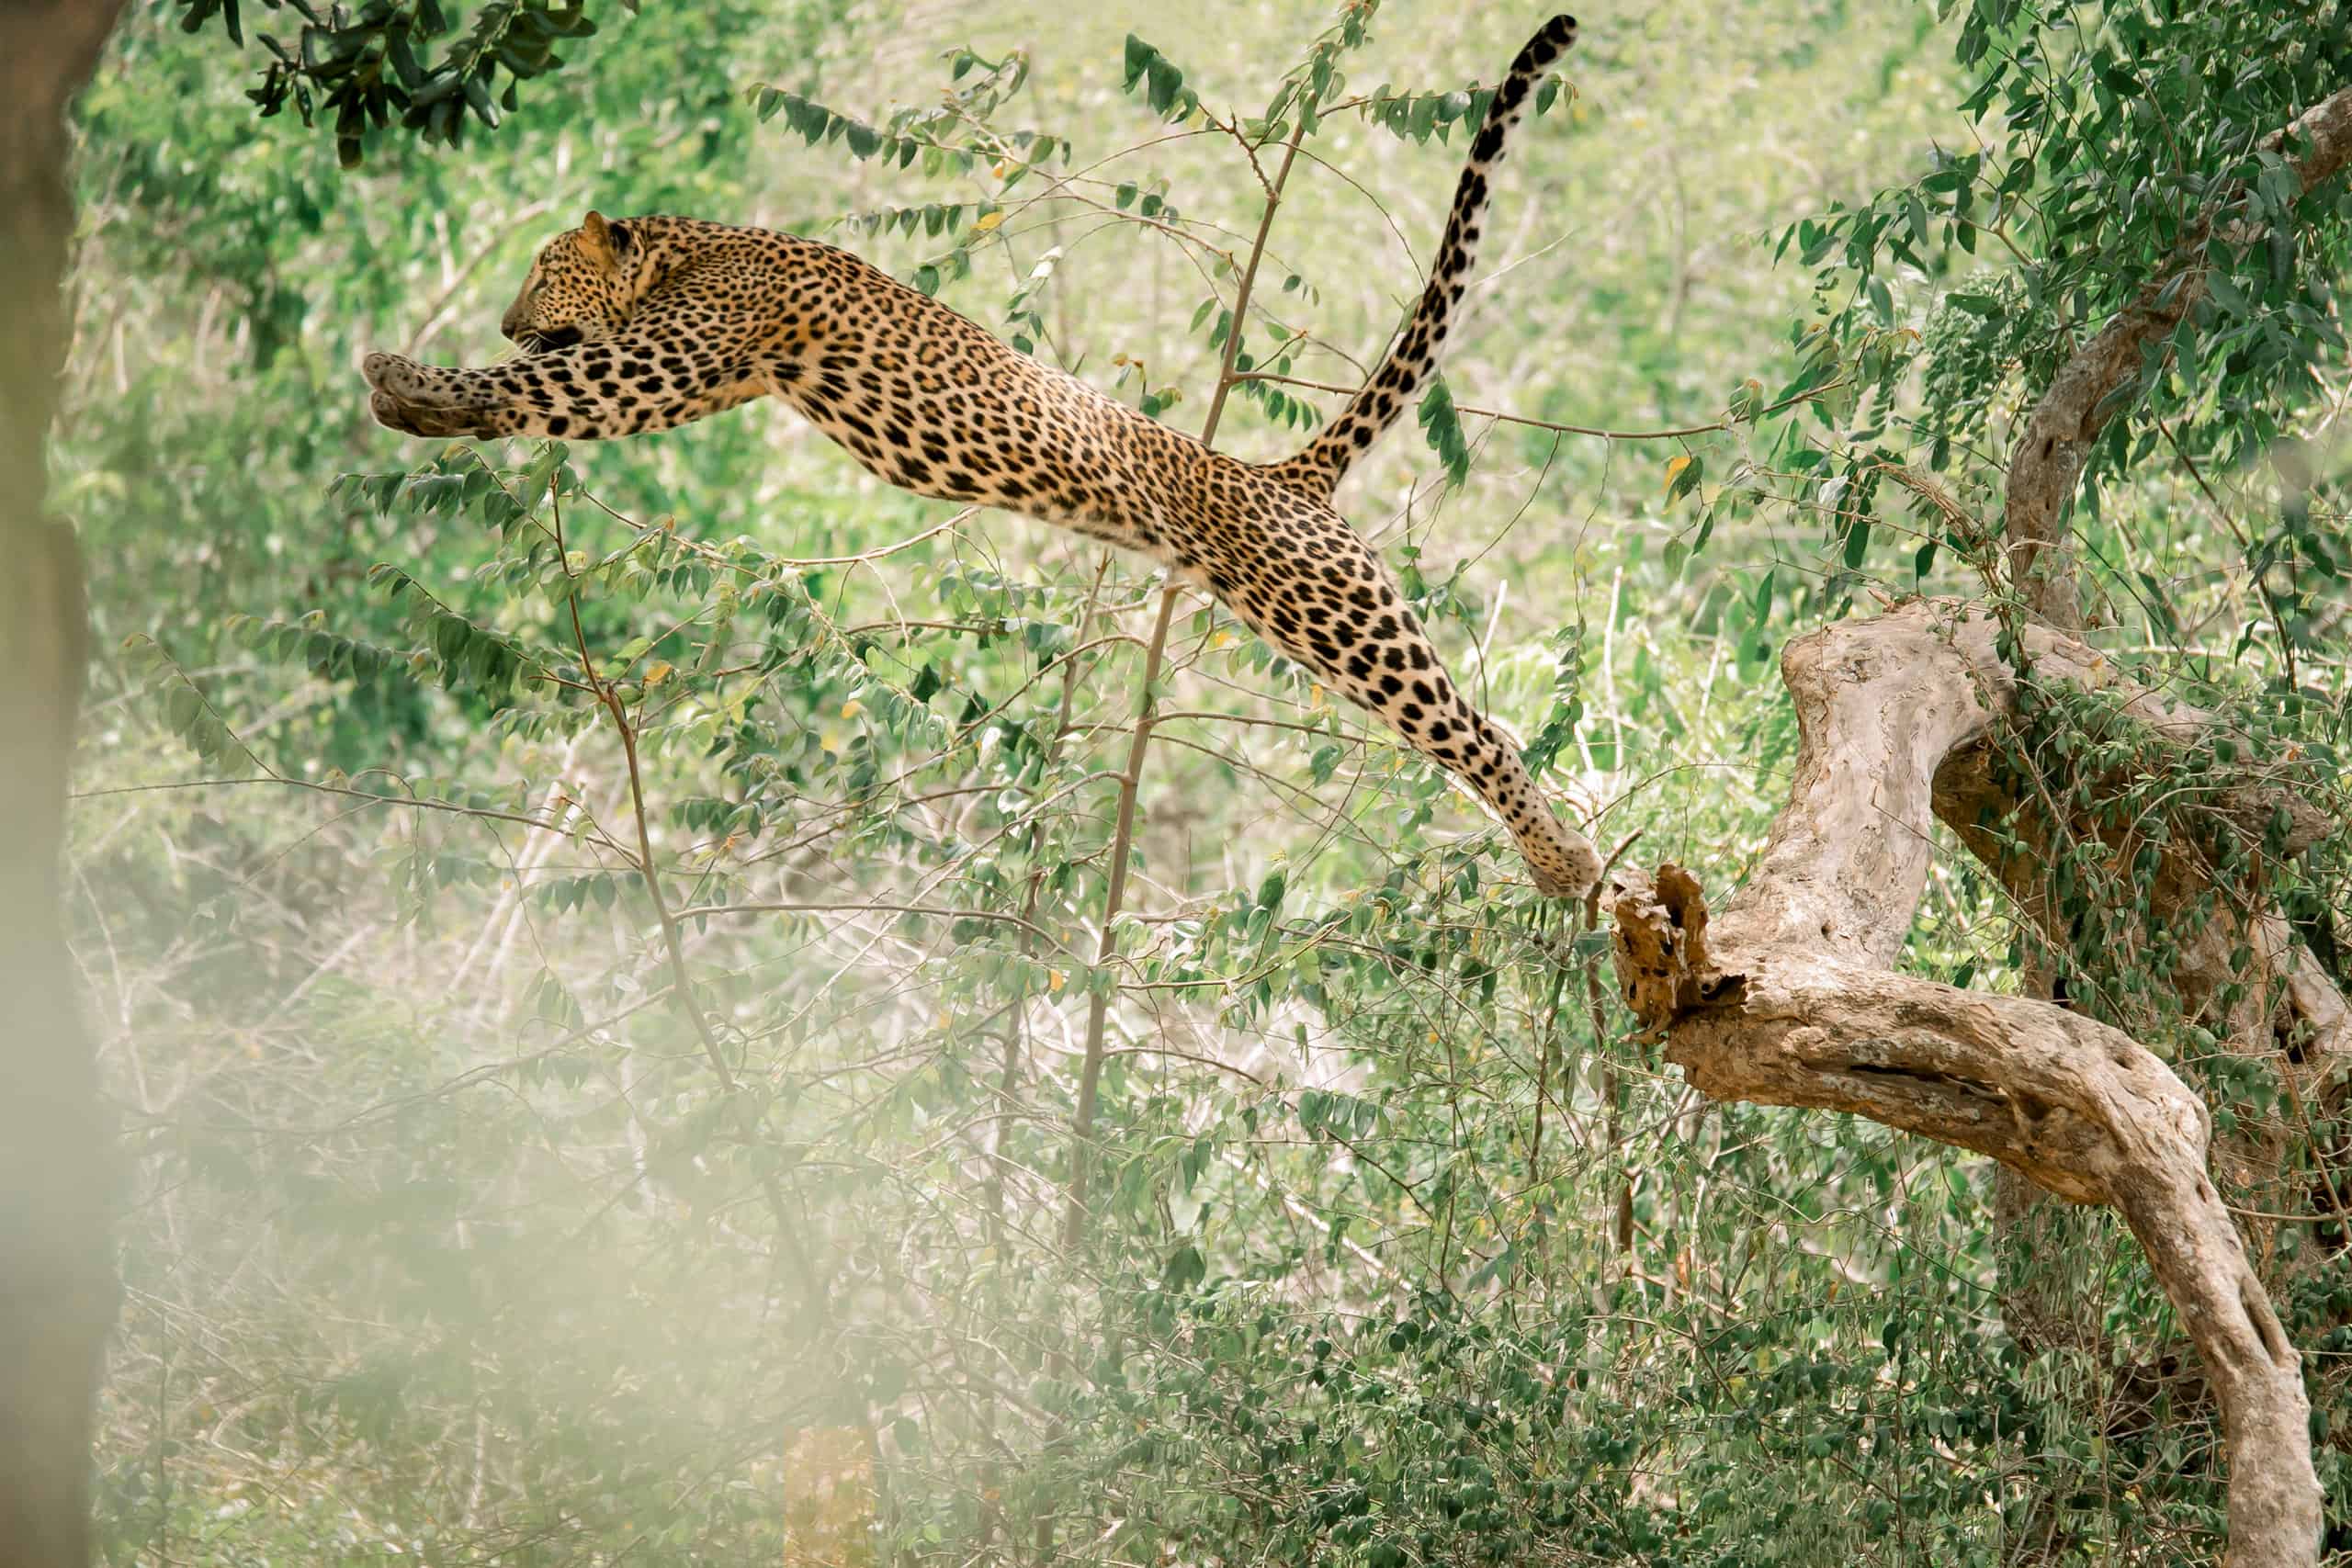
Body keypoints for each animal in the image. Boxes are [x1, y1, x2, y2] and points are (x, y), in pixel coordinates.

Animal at [363, 13, 1600, 901]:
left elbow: (540, 389)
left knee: (1477, 730)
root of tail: (1274, 477)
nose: (510, 314)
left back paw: (1567, 863)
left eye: (542, 270)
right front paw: (422, 405)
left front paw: (407, 380)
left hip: (1334, 611)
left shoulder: (669, 358)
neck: (689, 252)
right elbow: (538, 401)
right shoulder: (698, 371)